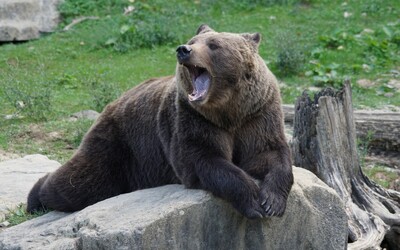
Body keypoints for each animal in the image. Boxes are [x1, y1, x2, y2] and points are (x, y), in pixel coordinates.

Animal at [26, 24, 292, 219]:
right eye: (193, 41)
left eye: (214, 45)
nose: (183, 49)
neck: (227, 111)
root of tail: (113, 103)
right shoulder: (193, 119)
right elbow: (204, 159)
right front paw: (253, 202)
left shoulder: (257, 114)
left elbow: (269, 153)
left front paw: (272, 202)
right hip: (120, 145)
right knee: (82, 183)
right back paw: (35, 197)